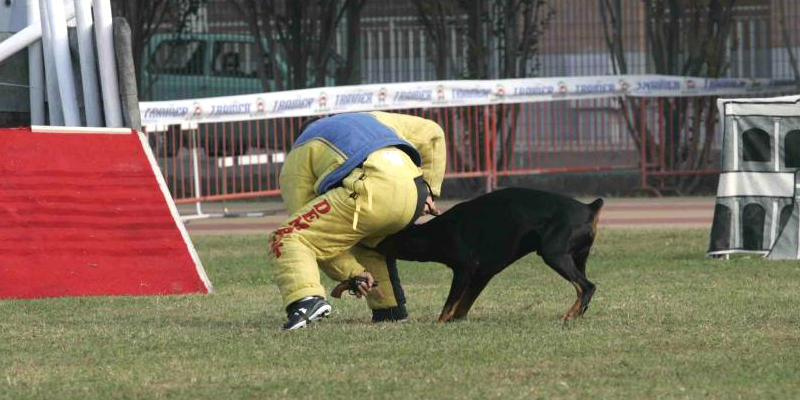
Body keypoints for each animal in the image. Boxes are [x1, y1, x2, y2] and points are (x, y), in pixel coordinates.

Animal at [378, 187, 604, 322]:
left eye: (387, 236)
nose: (373, 244)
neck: (437, 232)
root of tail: (589, 208)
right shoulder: (482, 275)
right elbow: (463, 304)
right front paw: (456, 320)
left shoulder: (464, 270)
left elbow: (450, 303)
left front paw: (441, 322)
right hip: (578, 257)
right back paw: (577, 313)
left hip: (554, 254)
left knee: (586, 287)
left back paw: (570, 315)